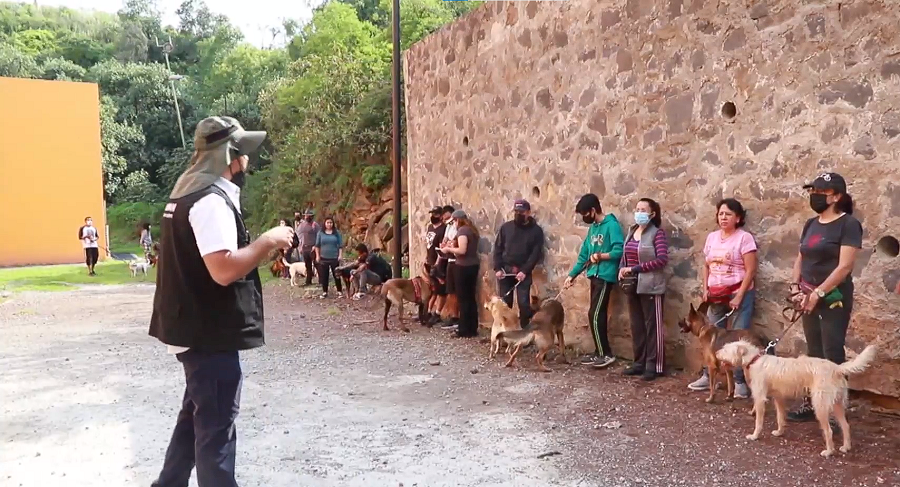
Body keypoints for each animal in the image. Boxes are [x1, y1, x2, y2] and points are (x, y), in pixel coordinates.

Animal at [716, 340, 880, 458]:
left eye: (725, 349)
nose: (716, 352)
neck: (754, 359)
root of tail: (837, 368)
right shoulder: (778, 398)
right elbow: (780, 417)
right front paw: (779, 432)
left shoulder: (761, 399)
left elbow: (759, 421)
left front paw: (755, 436)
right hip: (837, 404)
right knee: (845, 426)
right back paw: (846, 447)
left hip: (820, 406)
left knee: (829, 431)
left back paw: (829, 452)